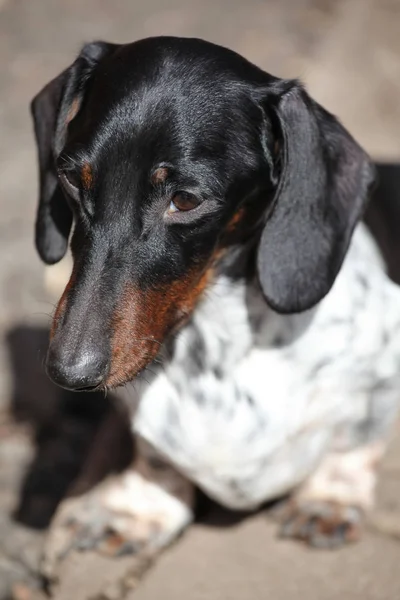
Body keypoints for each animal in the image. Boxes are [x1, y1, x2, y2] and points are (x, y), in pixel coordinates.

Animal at [29, 36, 400, 576]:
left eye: (185, 200)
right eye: (74, 179)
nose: (69, 372)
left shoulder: (380, 375)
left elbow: (357, 438)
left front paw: (328, 499)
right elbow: (156, 457)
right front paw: (136, 509)